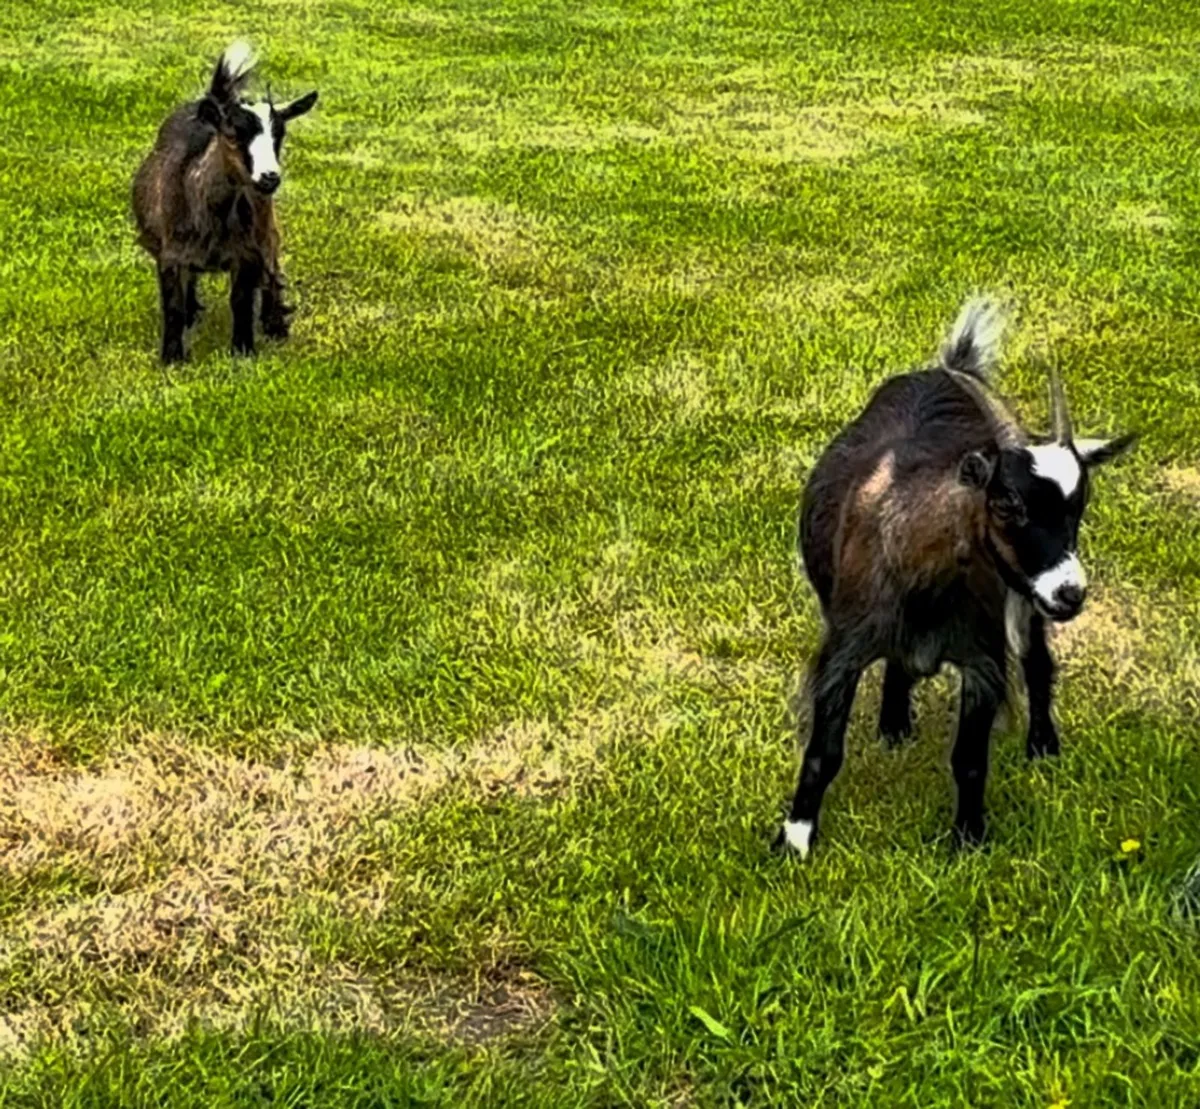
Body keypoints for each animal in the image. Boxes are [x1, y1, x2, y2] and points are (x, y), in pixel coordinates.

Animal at [132, 42, 318, 363]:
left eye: (280, 135)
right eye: (232, 135)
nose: (269, 177)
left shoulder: (247, 253)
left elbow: (241, 302)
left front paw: (243, 352)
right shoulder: (170, 255)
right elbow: (174, 307)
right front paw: (172, 358)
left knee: (273, 269)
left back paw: (274, 324)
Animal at [776, 298, 1136, 857]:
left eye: (1079, 508)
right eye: (1006, 503)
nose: (1069, 592)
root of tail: (953, 367)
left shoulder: (982, 659)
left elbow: (969, 759)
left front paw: (968, 839)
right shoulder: (843, 650)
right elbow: (823, 753)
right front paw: (795, 841)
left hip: (1022, 607)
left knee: (1037, 660)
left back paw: (1042, 746)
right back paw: (894, 727)